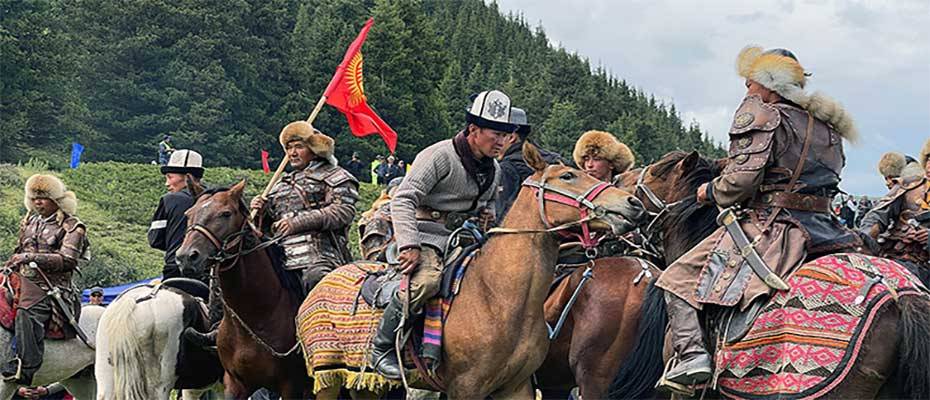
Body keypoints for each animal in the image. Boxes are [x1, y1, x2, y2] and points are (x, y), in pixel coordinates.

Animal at [172, 182, 306, 400]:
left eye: (226, 214)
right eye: (188, 214)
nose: (186, 257)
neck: (259, 315)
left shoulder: (292, 386)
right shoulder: (235, 384)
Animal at [300, 142, 644, 398]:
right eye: (568, 176)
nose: (632, 204)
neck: (497, 297)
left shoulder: (516, 387)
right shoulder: (465, 387)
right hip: (327, 374)